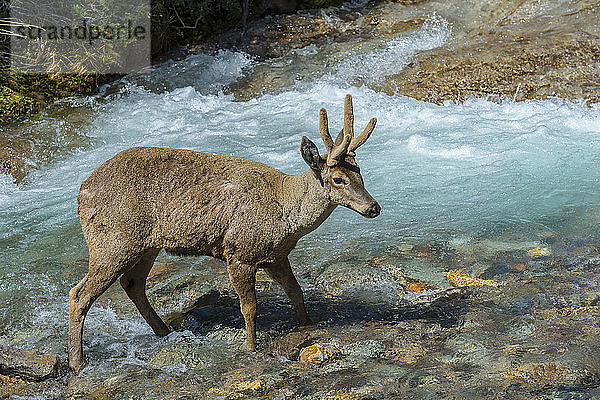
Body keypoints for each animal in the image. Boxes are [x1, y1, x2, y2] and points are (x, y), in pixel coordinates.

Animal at [68, 93, 380, 372]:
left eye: (360, 173)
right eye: (338, 179)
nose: (374, 207)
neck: (286, 212)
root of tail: (81, 192)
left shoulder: (275, 256)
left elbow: (296, 292)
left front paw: (307, 325)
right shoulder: (239, 252)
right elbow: (250, 308)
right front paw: (251, 348)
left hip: (146, 245)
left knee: (132, 284)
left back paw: (165, 332)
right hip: (112, 240)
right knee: (79, 293)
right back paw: (77, 363)